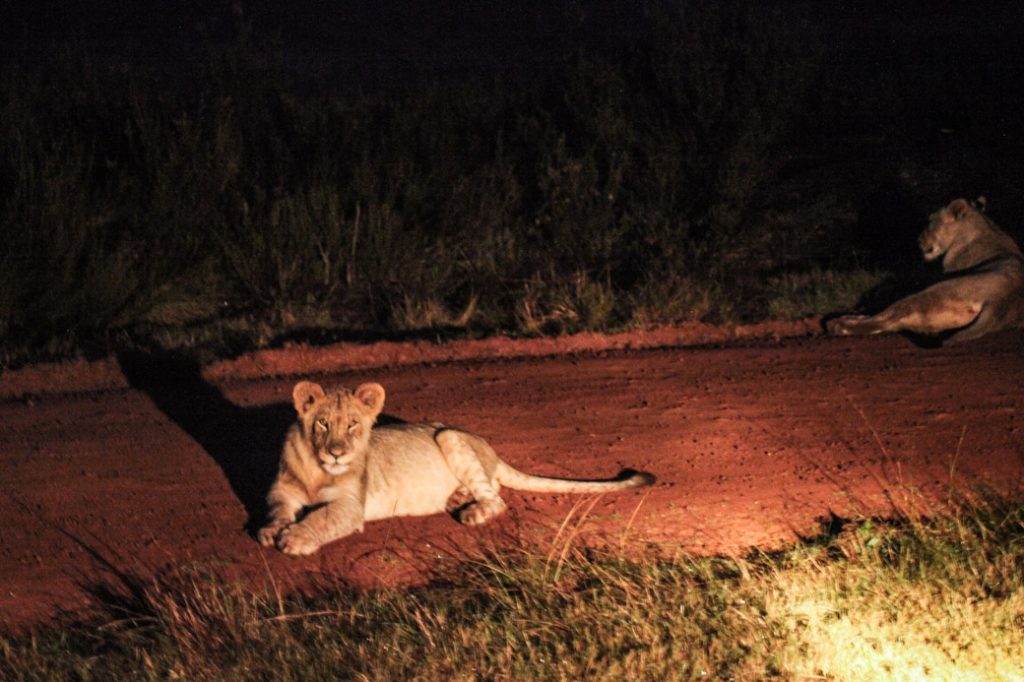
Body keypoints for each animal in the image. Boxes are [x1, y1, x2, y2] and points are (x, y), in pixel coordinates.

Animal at [258, 380, 656, 556]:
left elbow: (322, 517)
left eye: (353, 424)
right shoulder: (281, 488)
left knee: (497, 498)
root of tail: (492, 450)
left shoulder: (351, 506)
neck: (319, 469)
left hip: (450, 436)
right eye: (323, 424)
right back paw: (457, 499)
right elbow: (277, 507)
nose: (338, 453)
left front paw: (294, 538)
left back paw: (471, 512)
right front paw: (271, 529)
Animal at [827, 197, 1024, 343]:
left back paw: (838, 324)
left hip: (934, 292)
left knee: (888, 318)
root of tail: (1001, 301)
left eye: (929, 223)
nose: (918, 239)